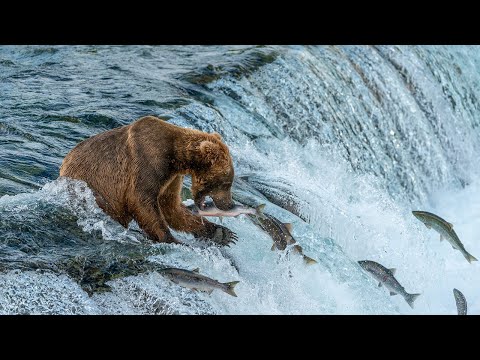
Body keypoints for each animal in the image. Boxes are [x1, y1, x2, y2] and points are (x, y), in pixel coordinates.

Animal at [59, 115, 237, 245]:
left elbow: (171, 206)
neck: (175, 157)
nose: (230, 204)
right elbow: (141, 200)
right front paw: (171, 238)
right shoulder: (147, 161)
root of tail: (62, 166)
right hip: (93, 188)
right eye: (226, 182)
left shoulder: (171, 178)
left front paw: (222, 233)